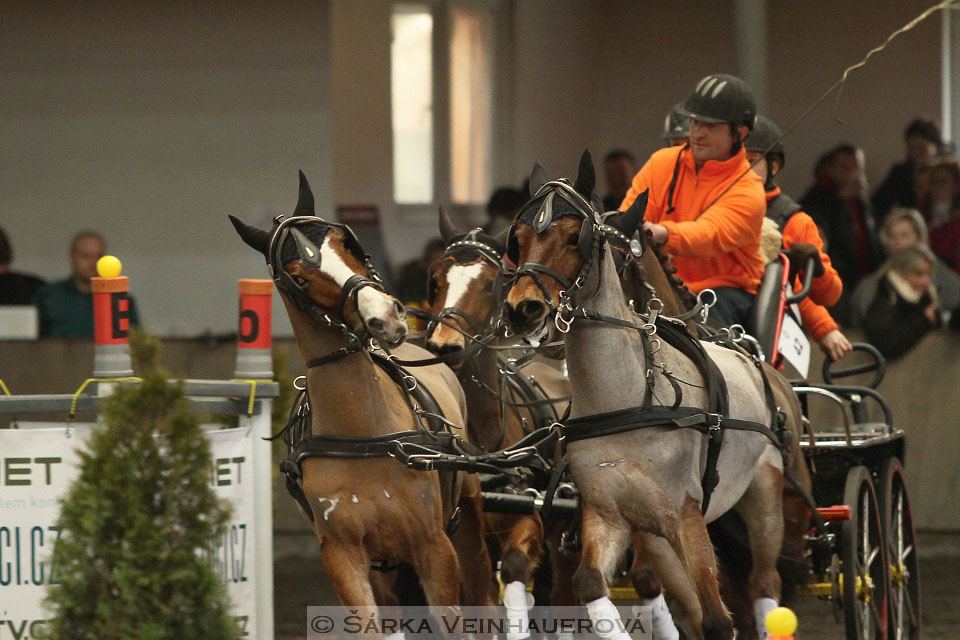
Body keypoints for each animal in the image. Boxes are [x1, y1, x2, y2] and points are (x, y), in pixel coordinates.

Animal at [229, 172, 492, 616]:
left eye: (346, 244)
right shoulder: (343, 557)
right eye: (299, 277)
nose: (385, 316)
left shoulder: (434, 548)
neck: (364, 438)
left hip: (468, 519)